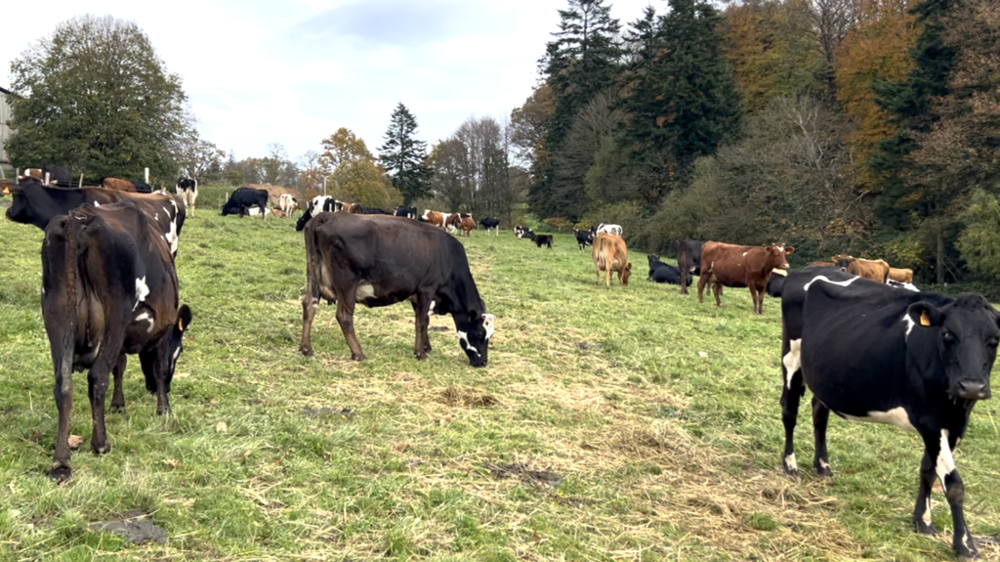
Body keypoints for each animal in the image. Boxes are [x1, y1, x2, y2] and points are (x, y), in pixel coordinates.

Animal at [40, 202, 192, 481]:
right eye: (180, 351)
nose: (156, 389)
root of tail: (79, 219)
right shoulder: (163, 331)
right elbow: (158, 368)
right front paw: (163, 409)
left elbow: (119, 367)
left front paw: (118, 405)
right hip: (114, 317)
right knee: (97, 377)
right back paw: (100, 443)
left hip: (57, 314)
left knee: (63, 385)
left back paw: (61, 461)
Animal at [299, 212, 495, 367]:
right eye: (480, 333)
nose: (483, 362)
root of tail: (327, 216)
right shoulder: (427, 289)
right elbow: (421, 321)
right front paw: (421, 353)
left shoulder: (417, 295)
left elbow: (425, 321)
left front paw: (426, 347)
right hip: (347, 284)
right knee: (344, 317)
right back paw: (358, 353)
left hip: (313, 277)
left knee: (309, 305)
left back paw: (306, 348)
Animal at [779, 269, 999, 559]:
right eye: (947, 335)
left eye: (994, 340)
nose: (972, 386)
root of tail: (806, 270)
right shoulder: (929, 420)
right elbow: (953, 484)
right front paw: (965, 544)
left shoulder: (953, 424)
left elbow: (928, 470)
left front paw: (922, 521)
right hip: (791, 356)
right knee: (789, 411)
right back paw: (790, 465)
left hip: (825, 375)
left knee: (819, 413)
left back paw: (823, 466)